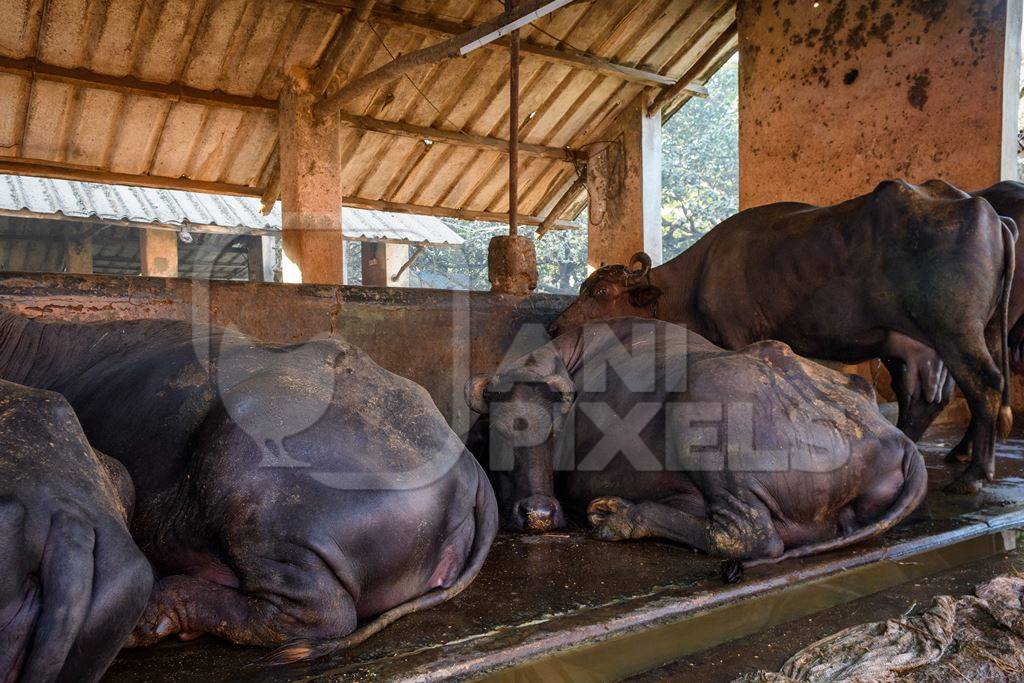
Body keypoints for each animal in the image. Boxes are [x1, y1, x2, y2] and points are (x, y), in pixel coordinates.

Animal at [548, 179, 1011, 493]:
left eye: (600, 292)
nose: (555, 325)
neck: (698, 277)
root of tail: (985, 211)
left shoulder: (735, 335)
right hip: (918, 343)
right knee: (926, 397)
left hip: (956, 331)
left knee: (985, 385)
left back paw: (974, 474)